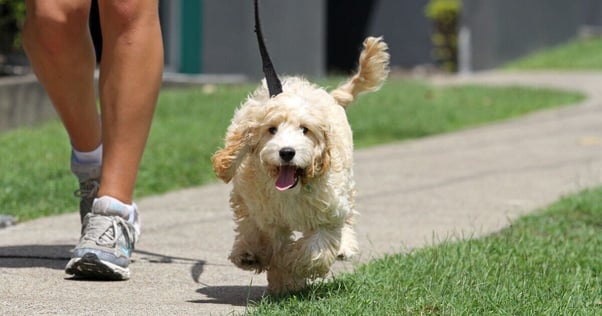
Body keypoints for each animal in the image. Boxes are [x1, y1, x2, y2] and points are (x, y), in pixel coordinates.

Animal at [211, 37, 390, 296]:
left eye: (305, 129)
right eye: (271, 129)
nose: (287, 152)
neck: (292, 190)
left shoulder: (327, 214)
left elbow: (314, 251)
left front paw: (290, 268)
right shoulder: (267, 216)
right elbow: (267, 237)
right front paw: (279, 275)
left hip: (345, 186)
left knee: (346, 218)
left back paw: (344, 246)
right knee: (247, 222)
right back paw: (247, 253)